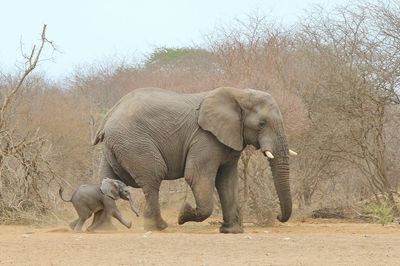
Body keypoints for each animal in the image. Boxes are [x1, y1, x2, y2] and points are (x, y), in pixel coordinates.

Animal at [93, 87, 294, 233]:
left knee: (107, 180)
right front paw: (183, 214)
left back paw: (103, 229)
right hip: (135, 143)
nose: (278, 216)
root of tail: (109, 115)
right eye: (262, 124)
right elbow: (196, 177)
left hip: (115, 147)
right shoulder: (205, 138)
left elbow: (227, 181)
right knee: (154, 176)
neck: (239, 94)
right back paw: (158, 227)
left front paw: (231, 231)